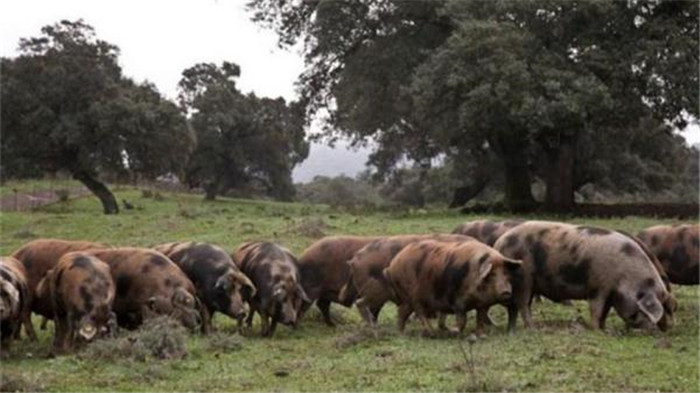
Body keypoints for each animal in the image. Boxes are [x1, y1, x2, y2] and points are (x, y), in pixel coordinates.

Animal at [382, 237, 520, 336]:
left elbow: (480, 318)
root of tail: (391, 266)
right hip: (412, 296)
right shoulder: (458, 300)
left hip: (409, 299)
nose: (506, 291)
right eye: (492, 275)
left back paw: (405, 333)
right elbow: (463, 317)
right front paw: (455, 332)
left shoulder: (482, 304)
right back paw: (428, 333)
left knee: (403, 312)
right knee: (415, 311)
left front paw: (482, 336)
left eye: (506, 273)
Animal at [492, 220, 680, 330]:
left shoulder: (609, 292)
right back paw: (533, 329)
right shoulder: (598, 286)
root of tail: (499, 244)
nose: (667, 328)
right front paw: (600, 331)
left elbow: (605, 311)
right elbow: (596, 309)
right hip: (524, 278)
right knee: (523, 304)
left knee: (517, 306)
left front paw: (604, 328)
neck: (625, 277)